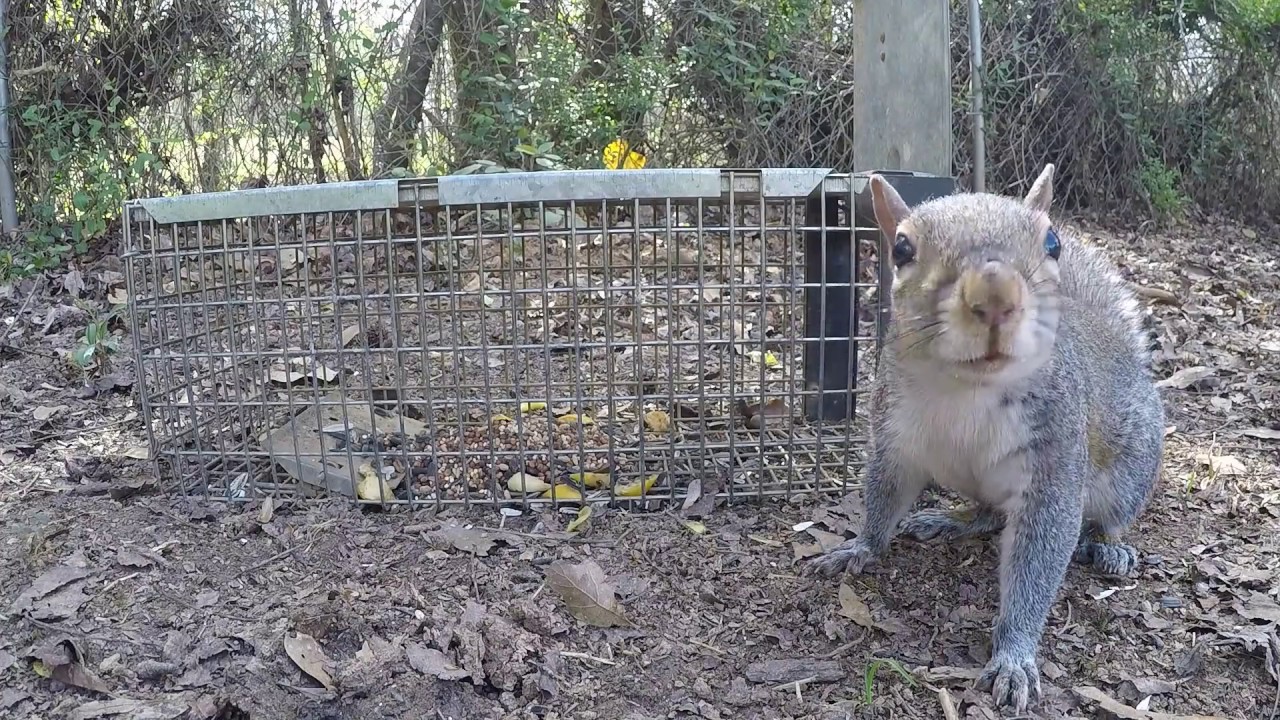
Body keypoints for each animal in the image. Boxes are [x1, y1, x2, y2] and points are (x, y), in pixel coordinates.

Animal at [805, 164, 1165, 712]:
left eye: (1053, 242)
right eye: (901, 248)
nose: (995, 294)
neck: (968, 388)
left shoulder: (1055, 459)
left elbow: (1038, 557)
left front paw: (1014, 657)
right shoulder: (894, 438)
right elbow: (884, 497)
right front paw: (861, 546)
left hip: (1128, 470)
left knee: (1108, 517)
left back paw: (1109, 547)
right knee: (991, 512)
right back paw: (951, 520)